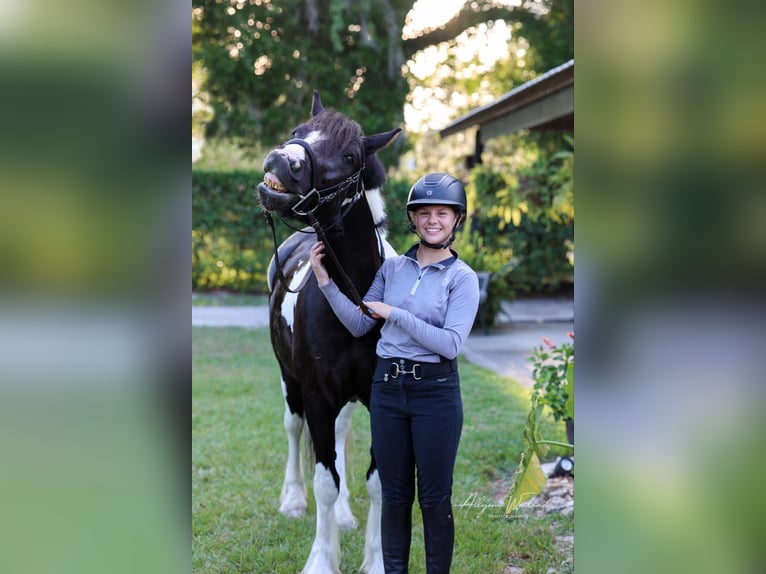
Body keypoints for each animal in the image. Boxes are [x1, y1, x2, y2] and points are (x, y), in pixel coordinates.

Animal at [258, 90, 402, 574]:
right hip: (290, 382)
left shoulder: (380, 397)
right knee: (293, 428)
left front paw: (376, 561)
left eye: (351, 155)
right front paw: (322, 559)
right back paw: (293, 500)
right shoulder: (318, 395)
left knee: (339, 438)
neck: (356, 293)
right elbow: (325, 479)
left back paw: (342, 516)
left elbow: (379, 482)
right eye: (299, 132)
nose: (280, 162)